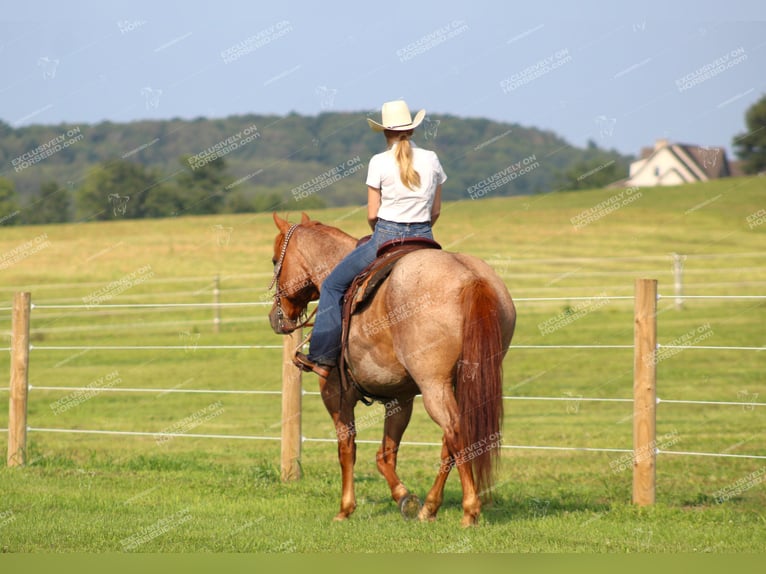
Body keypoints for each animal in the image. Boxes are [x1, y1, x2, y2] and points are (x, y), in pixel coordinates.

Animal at [268, 214, 516, 528]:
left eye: (275, 260)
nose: (276, 318)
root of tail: (470, 277)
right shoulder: (400, 398)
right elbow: (385, 455)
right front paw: (405, 498)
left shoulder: (336, 395)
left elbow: (347, 449)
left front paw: (347, 508)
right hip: (463, 381)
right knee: (450, 441)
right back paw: (430, 508)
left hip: (434, 385)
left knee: (455, 431)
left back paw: (470, 510)